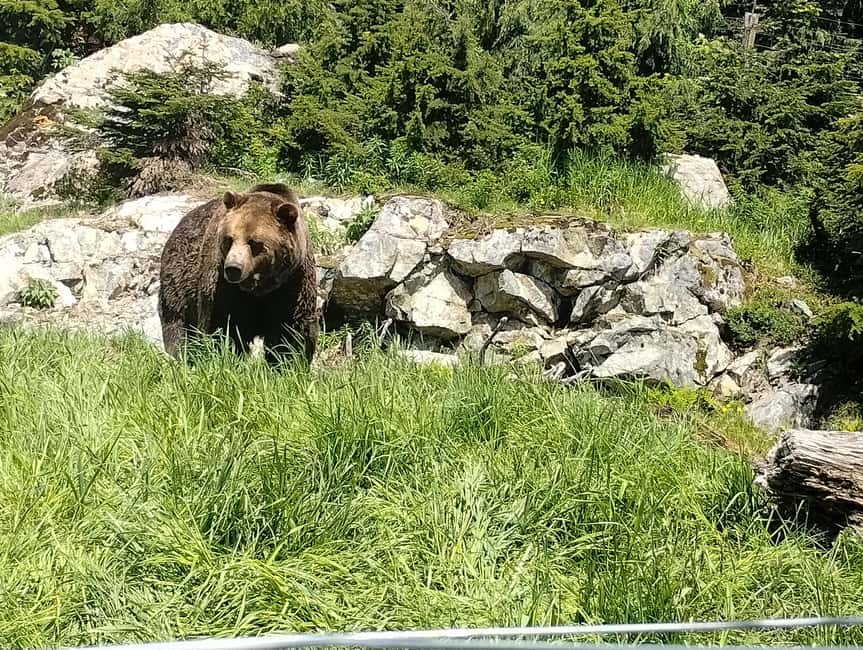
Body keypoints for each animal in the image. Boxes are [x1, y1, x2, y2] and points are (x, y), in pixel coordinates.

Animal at [158, 183, 319, 365]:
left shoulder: (292, 282)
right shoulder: (224, 286)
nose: (233, 268)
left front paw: (288, 362)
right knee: (177, 323)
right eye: (229, 239)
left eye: (254, 243)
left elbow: (290, 330)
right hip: (179, 279)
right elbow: (225, 325)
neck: (260, 287)